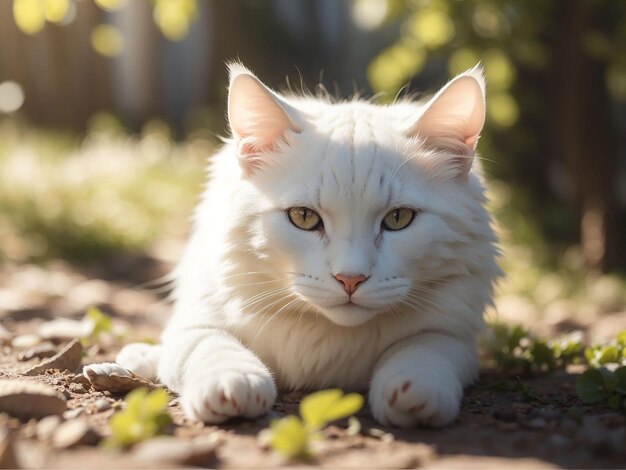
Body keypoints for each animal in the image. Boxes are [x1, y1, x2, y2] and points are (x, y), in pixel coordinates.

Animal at [108, 64, 498, 428]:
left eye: (399, 219)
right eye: (304, 218)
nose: (350, 279)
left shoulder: (453, 335)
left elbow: (424, 351)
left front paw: (412, 390)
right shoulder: (198, 319)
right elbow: (211, 345)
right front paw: (234, 383)